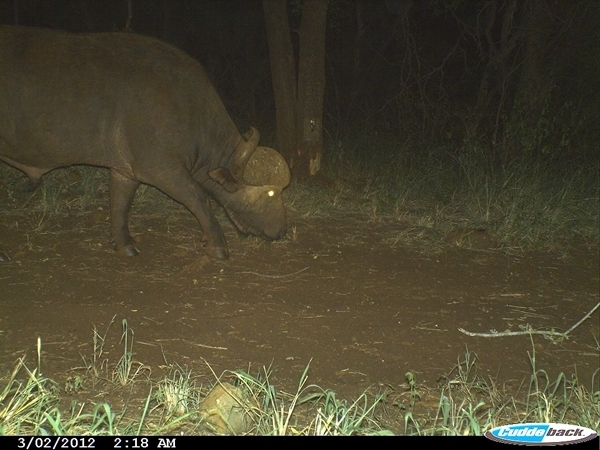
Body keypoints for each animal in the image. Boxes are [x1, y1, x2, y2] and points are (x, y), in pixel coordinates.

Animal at [0, 25, 290, 260]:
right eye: (271, 193)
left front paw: (123, 243)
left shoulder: (125, 171)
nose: (281, 231)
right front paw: (217, 244)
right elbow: (198, 198)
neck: (187, 108)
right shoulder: (162, 170)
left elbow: (120, 203)